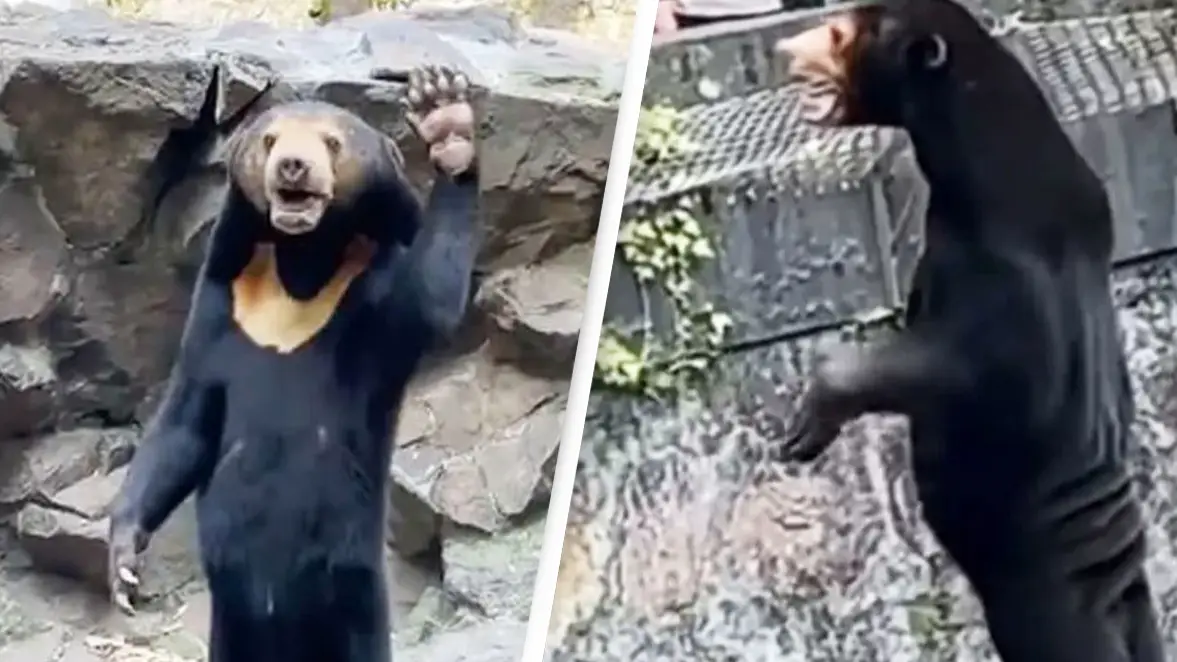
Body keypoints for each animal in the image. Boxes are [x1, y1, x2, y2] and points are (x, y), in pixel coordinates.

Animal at [106, 64, 481, 662]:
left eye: (332, 143)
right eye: (270, 140)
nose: (293, 167)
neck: (300, 264)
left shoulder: (376, 292)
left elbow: (431, 298)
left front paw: (446, 121)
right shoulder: (223, 302)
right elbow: (187, 419)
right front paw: (123, 565)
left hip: (353, 596)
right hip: (231, 620)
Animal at [772, 2, 1163, 660]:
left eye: (841, 34)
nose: (784, 50)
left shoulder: (1005, 285)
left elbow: (954, 370)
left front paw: (807, 421)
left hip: (1045, 597)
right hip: (1126, 605)